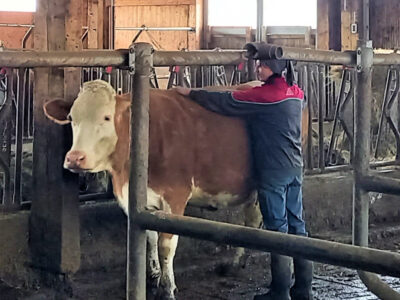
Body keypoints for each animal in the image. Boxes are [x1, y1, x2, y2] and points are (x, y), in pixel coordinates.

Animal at [43, 79, 306, 300]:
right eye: (71, 117)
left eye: (106, 117)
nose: (75, 158)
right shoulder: (139, 200)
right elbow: (149, 237)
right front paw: (152, 276)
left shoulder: (175, 196)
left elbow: (165, 245)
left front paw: (167, 288)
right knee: (253, 221)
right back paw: (237, 263)